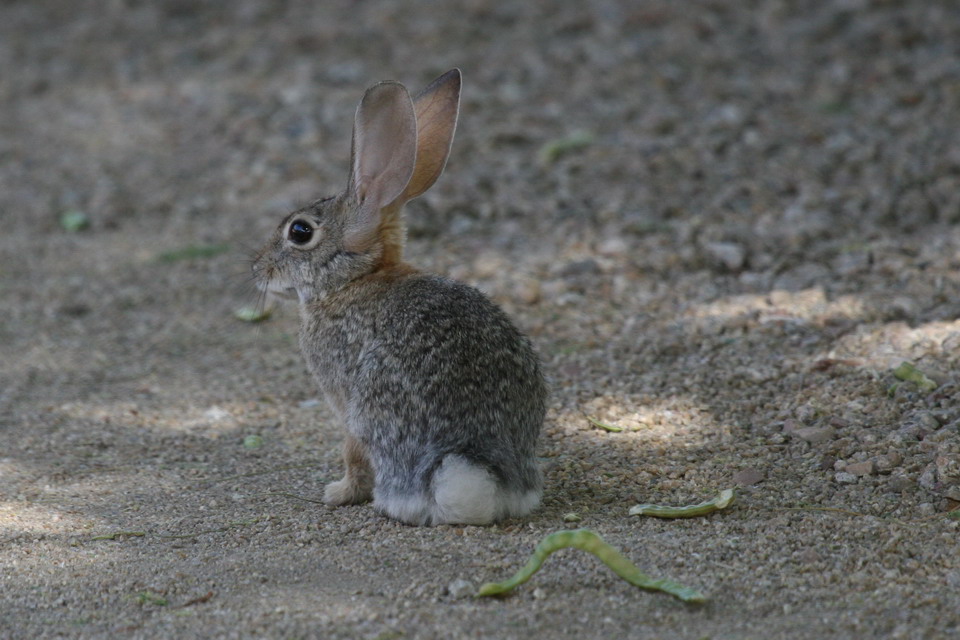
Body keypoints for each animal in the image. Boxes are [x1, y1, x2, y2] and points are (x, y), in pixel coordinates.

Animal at [252, 69, 547, 526]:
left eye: (299, 232)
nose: (259, 269)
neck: (356, 279)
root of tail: (470, 461)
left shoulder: (343, 402)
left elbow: (352, 453)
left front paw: (337, 493)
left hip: (373, 415)